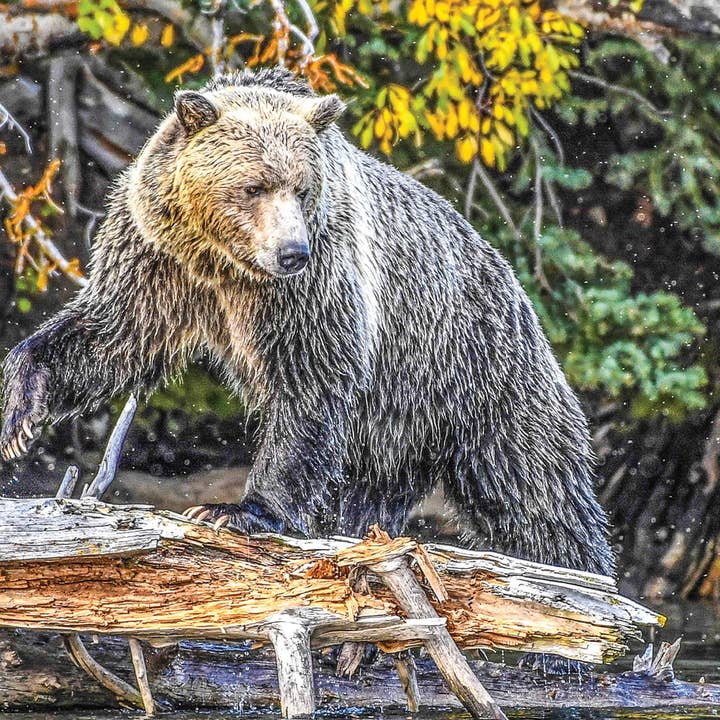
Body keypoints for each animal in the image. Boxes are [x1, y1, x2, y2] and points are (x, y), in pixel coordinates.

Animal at [0, 68, 615, 583]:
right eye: (253, 186)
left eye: (301, 186)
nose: (293, 251)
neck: (224, 266)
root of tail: (511, 276)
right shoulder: (157, 258)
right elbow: (111, 331)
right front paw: (20, 417)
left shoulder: (313, 291)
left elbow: (310, 382)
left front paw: (238, 510)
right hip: (396, 426)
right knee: (371, 496)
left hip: (475, 372)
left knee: (536, 490)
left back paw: (585, 582)